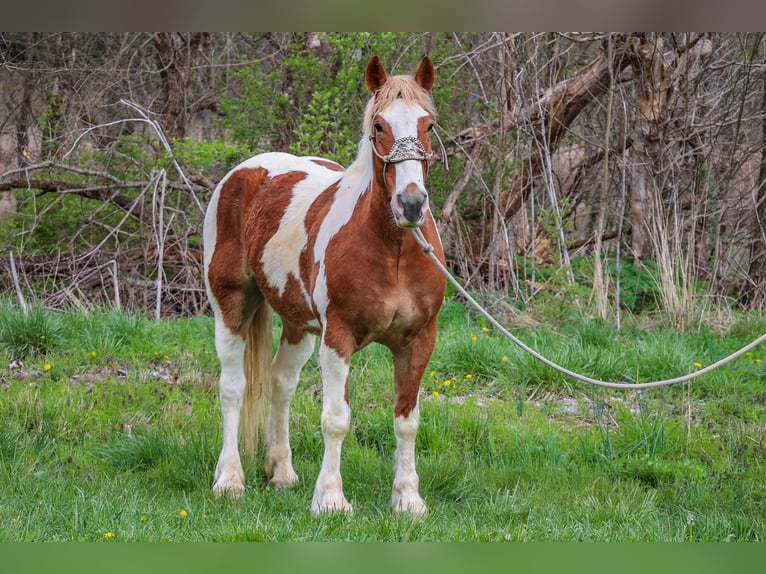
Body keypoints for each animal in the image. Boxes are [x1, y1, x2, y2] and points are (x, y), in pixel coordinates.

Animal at [202, 56, 450, 516]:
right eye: (379, 126)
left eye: (428, 124)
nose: (410, 204)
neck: (394, 251)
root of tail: (247, 171)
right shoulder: (339, 337)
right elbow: (335, 419)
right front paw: (331, 498)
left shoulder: (419, 340)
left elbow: (406, 421)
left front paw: (408, 499)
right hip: (231, 305)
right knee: (232, 388)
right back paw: (229, 480)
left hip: (297, 323)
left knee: (281, 383)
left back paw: (281, 472)